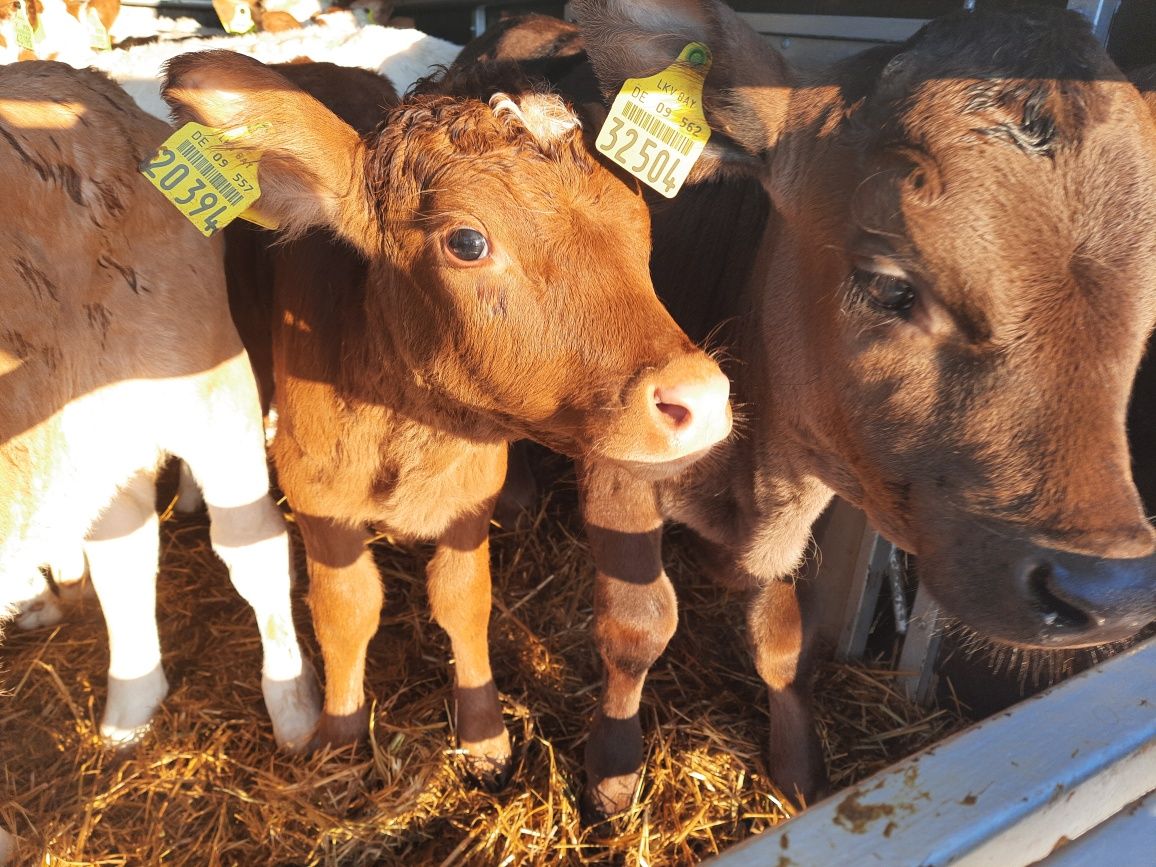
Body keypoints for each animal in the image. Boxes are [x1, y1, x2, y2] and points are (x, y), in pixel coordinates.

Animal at [162, 50, 730, 786]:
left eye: (639, 218)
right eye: (467, 241)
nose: (702, 398)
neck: (407, 428)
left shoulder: (472, 491)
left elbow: (463, 599)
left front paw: (484, 733)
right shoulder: (316, 496)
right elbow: (345, 608)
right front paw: (340, 733)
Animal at [545, 0, 1156, 813]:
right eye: (890, 283)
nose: (1106, 588)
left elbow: (783, 638)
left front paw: (800, 767)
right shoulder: (616, 470)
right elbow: (637, 626)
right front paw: (613, 774)